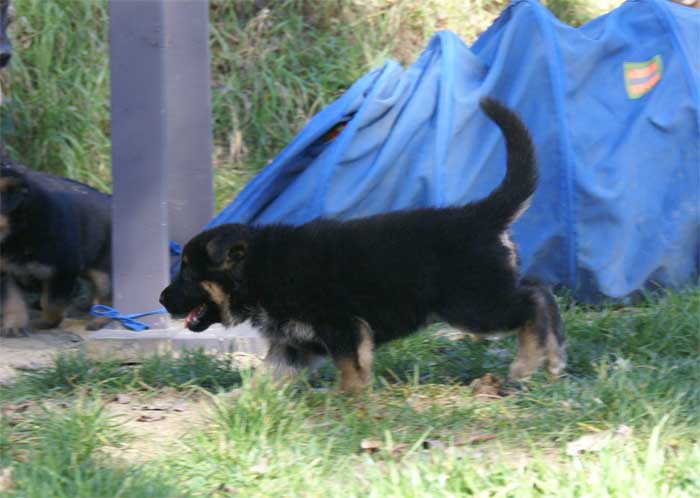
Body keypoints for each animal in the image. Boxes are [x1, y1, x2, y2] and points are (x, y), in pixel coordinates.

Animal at [0, 162, 110, 334]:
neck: (18, 231)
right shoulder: (5, 271)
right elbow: (12, 301)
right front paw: (14, 326)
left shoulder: (63, 270)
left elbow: (52, 303)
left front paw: (45, 323)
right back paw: (85, 307)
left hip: (103, 268)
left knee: (107, 293)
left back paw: (100, 319)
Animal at [161, 99, 568, 392]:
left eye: (187, 273)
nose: (161, 299)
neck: (260, 270)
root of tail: (481, 214)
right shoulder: (293, 345)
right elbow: (264, 378)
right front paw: (232, 404)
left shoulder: (341, 326)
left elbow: (350, 369)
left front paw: (350, 402)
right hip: (484, 294)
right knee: (539, 289)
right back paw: (554, 357)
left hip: (472, 304)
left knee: (532, 299)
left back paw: (528, 362)